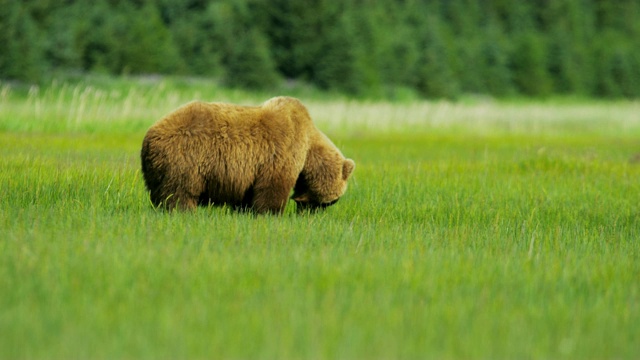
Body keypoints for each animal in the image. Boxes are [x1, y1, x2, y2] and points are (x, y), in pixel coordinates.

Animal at [139, 96, 356, 214]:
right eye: (331, 201)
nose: (310, 214)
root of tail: (149, 136)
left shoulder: (247, 176)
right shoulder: (281, 153)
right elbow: (272, 188)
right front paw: (270, 214)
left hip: (157, 168)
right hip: (185, 159)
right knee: (179, 193)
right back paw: (184, 212)